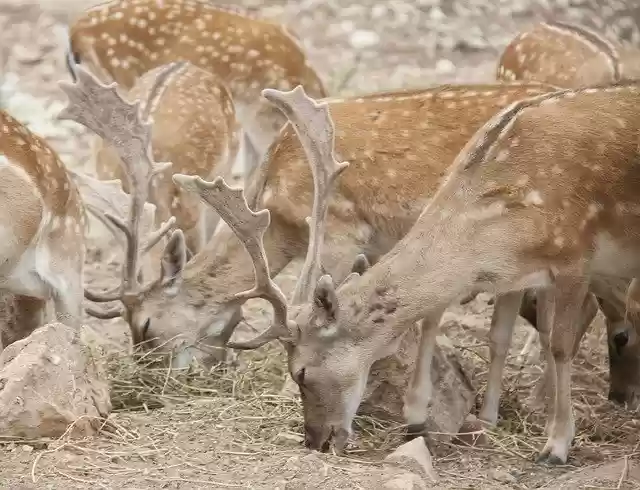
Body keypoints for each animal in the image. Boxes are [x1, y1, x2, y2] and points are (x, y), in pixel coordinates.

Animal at [186, 81, 640, 465]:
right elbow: (478, 329)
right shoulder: (516, 274)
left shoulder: (575, 255)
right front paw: (431, 419)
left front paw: (556, 446)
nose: (315, 440)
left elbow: (559, 345)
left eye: (301, 371)